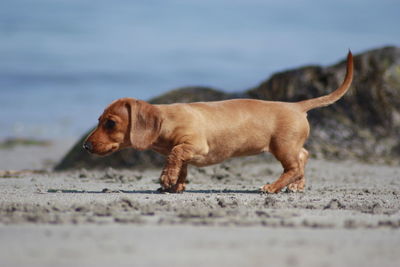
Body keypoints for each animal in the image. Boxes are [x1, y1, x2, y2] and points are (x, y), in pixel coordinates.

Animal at [84, 51, 354, 195]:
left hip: (282, 146)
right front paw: (176, 184)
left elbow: (175, 153)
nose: (85, 147)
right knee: (303, 156)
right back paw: (297, 186)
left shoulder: (194, 145)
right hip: (290, 146)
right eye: (99, 120)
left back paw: (272, 187)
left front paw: (167, 178)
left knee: (295, 166)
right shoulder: (187, 151)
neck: (166, 120)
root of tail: (296, 106)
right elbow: (181, 162)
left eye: (110, 123)